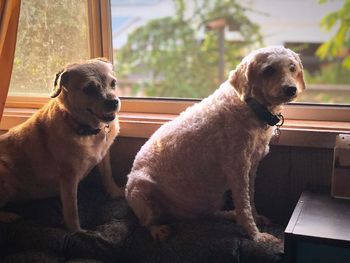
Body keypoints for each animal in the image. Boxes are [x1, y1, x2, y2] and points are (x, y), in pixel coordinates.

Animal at [0, 58, 124, 232]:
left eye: (113, 83)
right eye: (89, 89)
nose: (113, 102)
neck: (83, 128)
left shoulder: (104, 156)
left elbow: (108, 176)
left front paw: (115, 192)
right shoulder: (68, 177)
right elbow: (72, 209)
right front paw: (78, 231)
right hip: (5, 176)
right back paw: (8, 216)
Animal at [125, 46, 304, 244]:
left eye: (292, 68)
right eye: (269, 70)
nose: (291, 89)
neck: (249, 105)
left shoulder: (251, 167)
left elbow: (250, 198)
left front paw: (256, 219)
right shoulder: (237, 169)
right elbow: (244, 207)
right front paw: (256, 235)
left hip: (209, 199)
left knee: (209, 213)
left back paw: (229, 214)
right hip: (140, 188)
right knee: (146, 221)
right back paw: (158, 229)